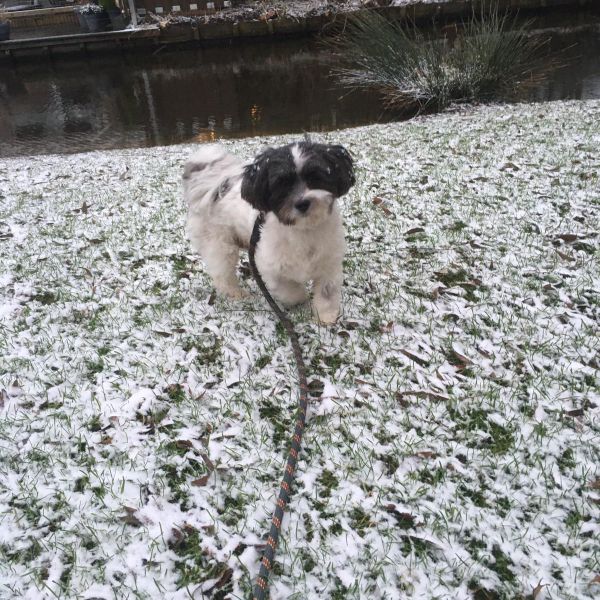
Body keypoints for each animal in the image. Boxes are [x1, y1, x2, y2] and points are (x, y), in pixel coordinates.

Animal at [182, 142, 352, 324]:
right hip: (219, 244)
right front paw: (301, 299)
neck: (303, 230)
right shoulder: (271, 267)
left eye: (315, 177)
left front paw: (326, 317)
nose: (302, 203)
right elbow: (290, 290)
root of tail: (213, 184)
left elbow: (327, 292)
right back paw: (236, 294)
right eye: (281, 184)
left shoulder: (329, 263)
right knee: (222, 273)